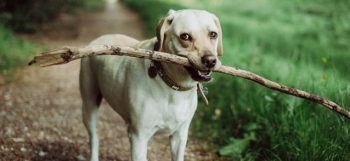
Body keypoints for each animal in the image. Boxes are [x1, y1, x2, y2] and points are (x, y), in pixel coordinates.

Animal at [79, 9, 223, 161]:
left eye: (213, 34)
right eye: (185, 36)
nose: (210, 60)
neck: (172, 86)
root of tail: (98, 39)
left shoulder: (180, 135)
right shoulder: (139, 137)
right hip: (89, 106)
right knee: (94, 137)